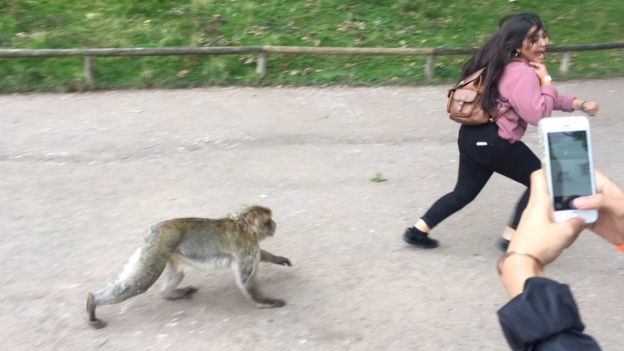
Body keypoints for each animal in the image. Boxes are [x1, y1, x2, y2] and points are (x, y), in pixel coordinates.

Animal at [86, 206, 292, 330]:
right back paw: (93, 302)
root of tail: (154, 229)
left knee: (176, 274)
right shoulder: (247, 244)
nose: (274, 224)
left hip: (168, 253)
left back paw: (170, 293)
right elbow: (246, 281)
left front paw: (278, 258)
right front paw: (265, 302)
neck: (244, 224)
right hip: (157, 247)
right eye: (268, 221)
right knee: (138, 284)